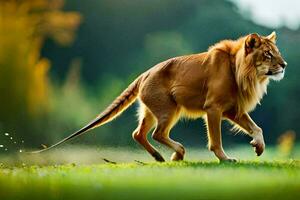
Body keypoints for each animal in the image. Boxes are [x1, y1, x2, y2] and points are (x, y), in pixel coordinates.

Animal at [32, 31, 286, 162]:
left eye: (277, 53)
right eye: (268, 54)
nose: (284, 65)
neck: (243, 72)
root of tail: (144, 73)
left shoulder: (233, 109)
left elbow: (257, 128)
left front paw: (258, 147)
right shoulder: (213, 108)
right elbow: (216, 140)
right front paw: (225, 159)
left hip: (151, 111)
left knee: (138, 133)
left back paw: (161, 157)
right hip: (169, 109)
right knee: (157, 134)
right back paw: (178, 152)